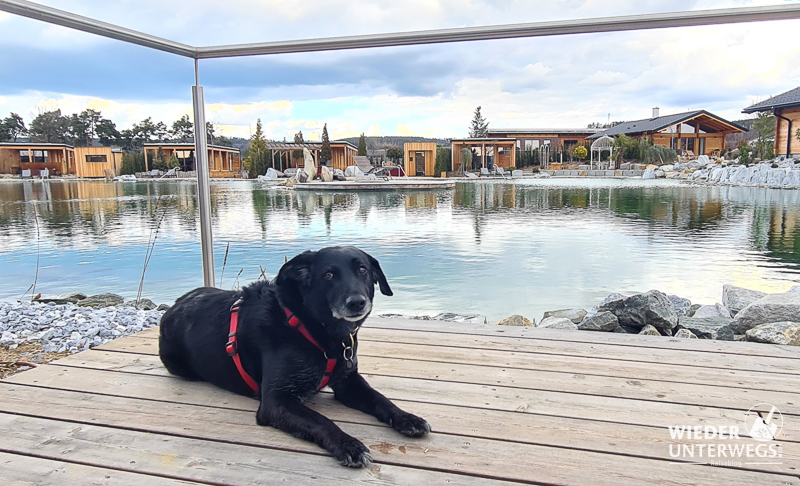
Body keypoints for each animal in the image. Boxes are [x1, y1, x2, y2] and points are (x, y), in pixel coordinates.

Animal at [158, 247, 432, 468]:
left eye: (362, 270)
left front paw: (407, 417)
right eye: (328, 275)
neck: (312, 328)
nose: (357, 302)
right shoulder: (276, 401)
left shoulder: (348, 382)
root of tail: (174, 305)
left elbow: (380, 399)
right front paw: (349, 444)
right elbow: (320, 420)